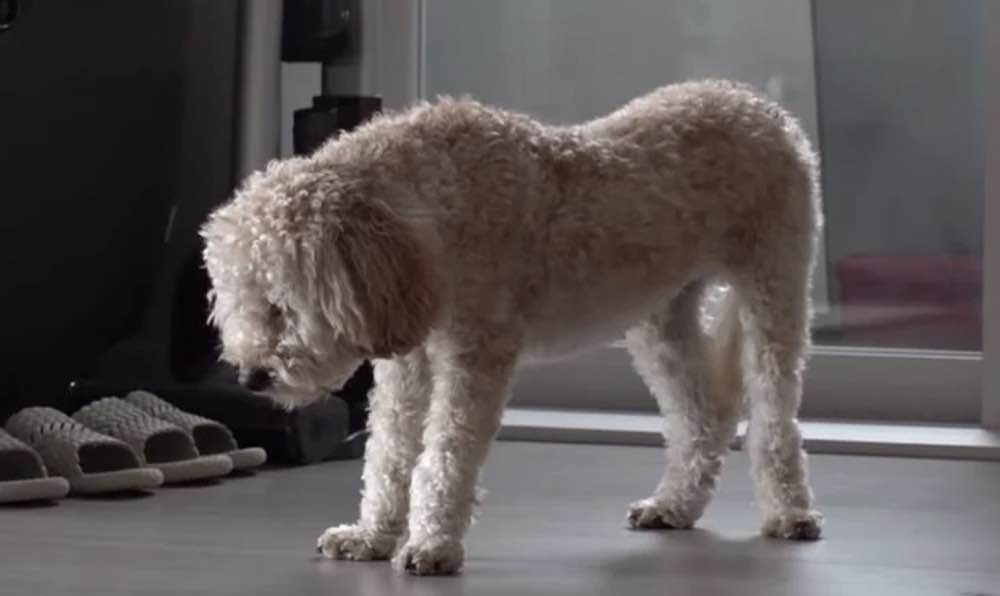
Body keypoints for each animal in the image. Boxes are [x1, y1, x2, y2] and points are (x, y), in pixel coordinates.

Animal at [201, 81, 820, 576]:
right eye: (235, 302)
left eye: (281, 305)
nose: (252, 378)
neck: (431, 204)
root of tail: (758, 104)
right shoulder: (409, 358)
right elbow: (389, 456)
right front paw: (372, 536)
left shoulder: (476, 353)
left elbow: (445, 456)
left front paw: (433, 546)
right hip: (660, 320)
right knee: (702, 416)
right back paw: (674, 506)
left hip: (773, 291)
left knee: (773, 420)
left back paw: (790, 512)